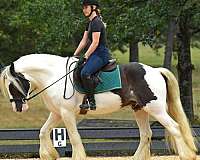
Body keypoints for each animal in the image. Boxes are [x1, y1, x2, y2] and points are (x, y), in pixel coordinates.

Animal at [0, 54, 197, 160]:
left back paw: (186, 155)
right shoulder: (57, 113)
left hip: (156, 109)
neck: (53, 76)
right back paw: (136, 157)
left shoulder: (67, 113)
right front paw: (49, 154)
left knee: (175, 128)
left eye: (12, 85)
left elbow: (74, 136)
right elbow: (42, 131)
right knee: (146, 134)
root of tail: (155, 70)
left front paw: (78, 156)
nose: (18, 108)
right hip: (140, 109)